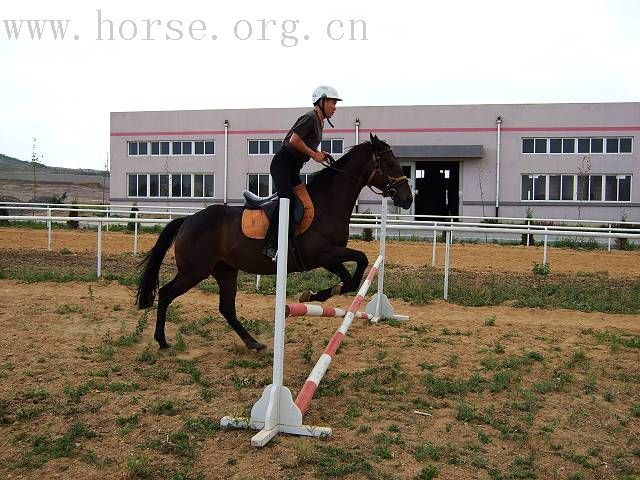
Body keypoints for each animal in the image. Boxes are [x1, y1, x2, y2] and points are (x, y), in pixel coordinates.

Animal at [137, 133, 412, 350]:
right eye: (390, 163)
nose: (408, 198)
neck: (328, 202)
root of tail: (188, 220)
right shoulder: (322, 254)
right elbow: (360, 260)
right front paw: (315, 294)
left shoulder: (328, 257)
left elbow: (350, 278)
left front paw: (319, 294)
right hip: (194, 271)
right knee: (166, 293)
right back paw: (162, 340)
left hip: (225, 271)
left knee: (226, 308)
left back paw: (252, 343)